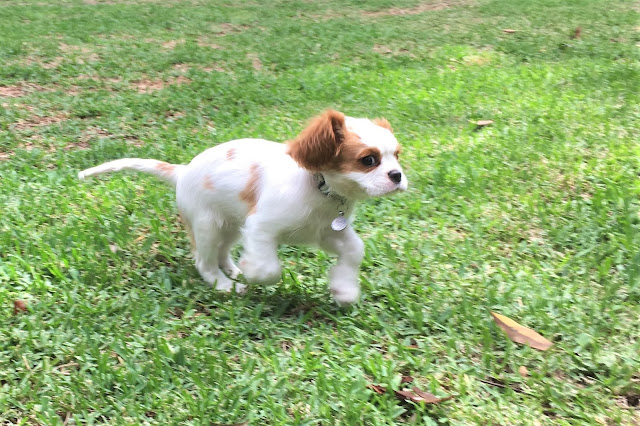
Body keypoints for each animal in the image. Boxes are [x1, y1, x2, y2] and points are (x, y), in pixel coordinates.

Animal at [80, 109, 408, 302]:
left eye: (397, 156)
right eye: (368, 160)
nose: (397, 176)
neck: (320, 188)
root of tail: (182, 171)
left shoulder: (328, 231)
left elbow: (355, 250)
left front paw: (345, 289)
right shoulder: (261, 227)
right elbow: (269, 268)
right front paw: (253, 273)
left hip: (231, 225)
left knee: (222, 253)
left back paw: (233, 271)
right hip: (208, 225)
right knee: (204, 261)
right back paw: (226, 285)